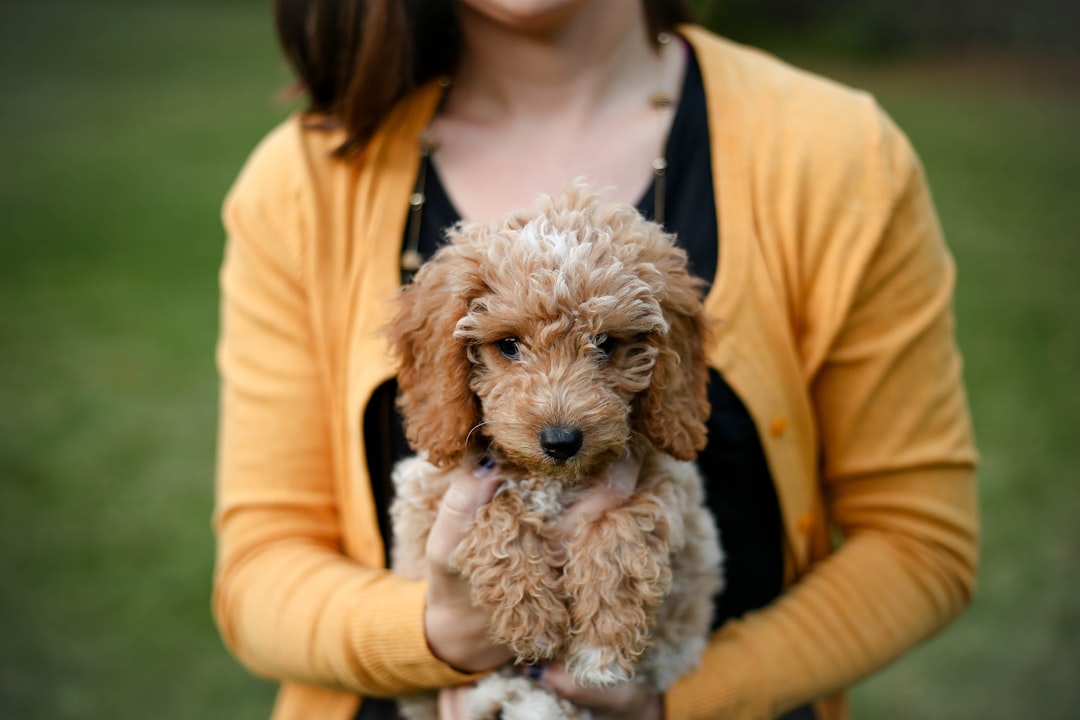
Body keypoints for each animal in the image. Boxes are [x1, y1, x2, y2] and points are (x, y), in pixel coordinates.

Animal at [388, 185, 725, 720]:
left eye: (606, 343)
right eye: (508, 345)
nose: (562, 440)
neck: (552, 480)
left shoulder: (664, 480)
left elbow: (625, 528)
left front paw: (601, 646)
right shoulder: (433, 496)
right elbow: (495, 515)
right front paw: (534, 620)